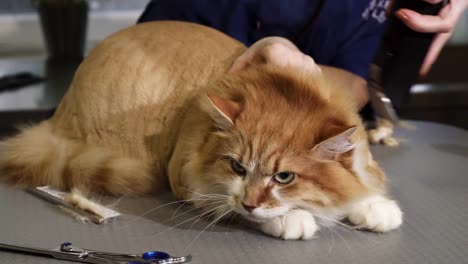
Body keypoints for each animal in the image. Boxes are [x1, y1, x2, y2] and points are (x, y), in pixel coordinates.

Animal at [0, 21, 402, 239]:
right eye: (238, 168)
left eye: (284, 176)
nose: (251, 201)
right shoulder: (189, 177)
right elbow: (235, 206)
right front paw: (292, 219)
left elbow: (361, 184)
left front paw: (374, 207)